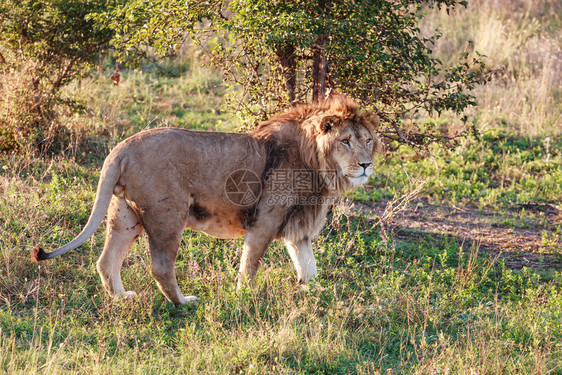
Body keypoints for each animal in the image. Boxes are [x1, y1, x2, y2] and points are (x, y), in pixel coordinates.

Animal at [29, 94, 380, 306]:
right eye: (345, 141)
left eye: (367, 140)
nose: (366, 164)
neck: (318, 164)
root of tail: (121, 148)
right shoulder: (265, 219)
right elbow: (250, 263)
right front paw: (245, 296)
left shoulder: (298, 223)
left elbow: (308, 264)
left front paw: (317, 292)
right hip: (168, 215)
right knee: (160, 267)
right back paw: (183, 303)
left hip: (125, 215)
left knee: (106, 260)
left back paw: (121, 298)